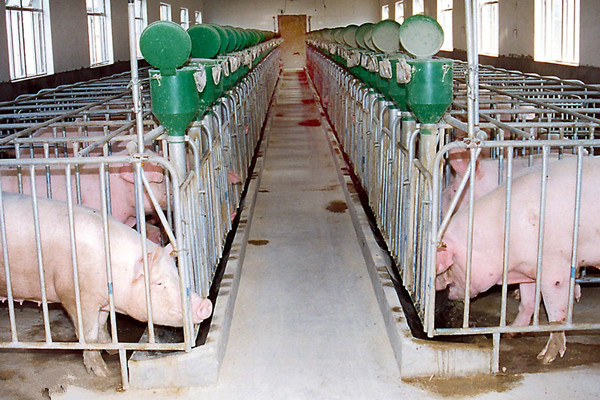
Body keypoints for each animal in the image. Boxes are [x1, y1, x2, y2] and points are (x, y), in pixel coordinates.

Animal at [0, 192, 213, 376]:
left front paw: (111, 349)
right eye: (159, 282)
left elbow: (102, 325)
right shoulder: (76, 296)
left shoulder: (102, 302)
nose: (206, 304)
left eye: (177, 273)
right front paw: (102, 372)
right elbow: (89, 334)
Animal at [436, 156, 600, 363]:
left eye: (450, 265)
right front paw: (511, 331)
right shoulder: (528, 268)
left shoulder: (555, 268)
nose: (436, 286)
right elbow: (528, 301)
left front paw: (545, 358)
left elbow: (556, 310)